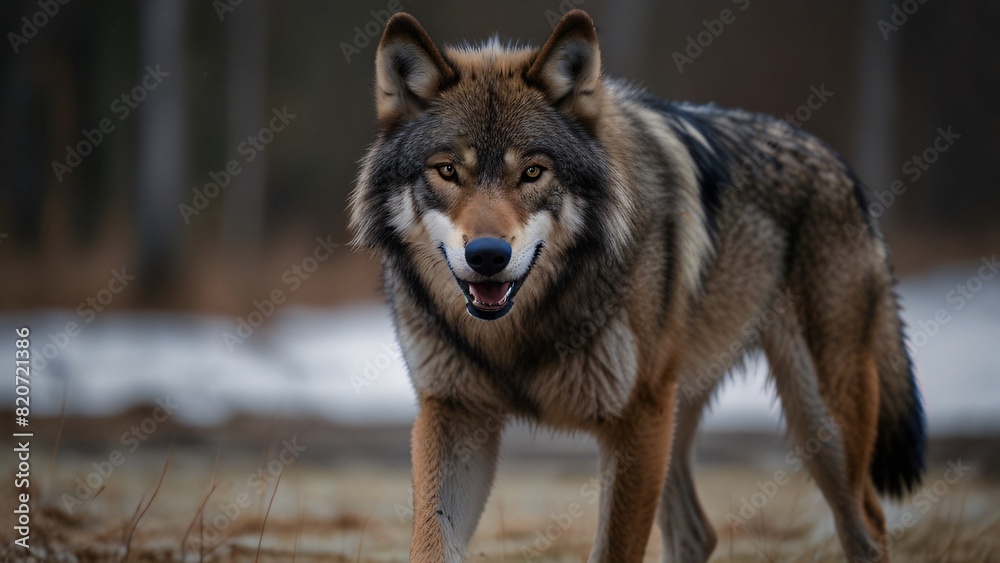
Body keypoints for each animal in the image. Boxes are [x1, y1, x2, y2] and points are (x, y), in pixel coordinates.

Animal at [349, 10, 925, 562]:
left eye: (533, 172)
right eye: (447, 171)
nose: (487, 256)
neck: (516, 335)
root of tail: (840, 167)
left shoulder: (635, 420)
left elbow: (614, 550)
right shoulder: (455, 415)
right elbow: (431, 544)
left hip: (817, 423)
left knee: (867, 523)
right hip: (680, 416)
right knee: (698, 532)